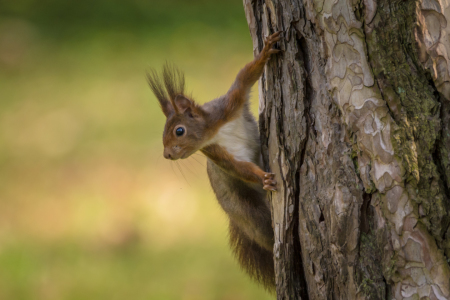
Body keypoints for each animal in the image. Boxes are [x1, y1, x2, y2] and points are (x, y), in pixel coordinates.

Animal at [148, 31, 282, 290]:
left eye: (179, 131)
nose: (167, 154)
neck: (214, 132)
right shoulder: (216, 153)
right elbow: (240, 169)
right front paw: (263, 178)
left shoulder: (230, 104)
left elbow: (245, 76)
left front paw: (265, 53)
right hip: (246, 209)